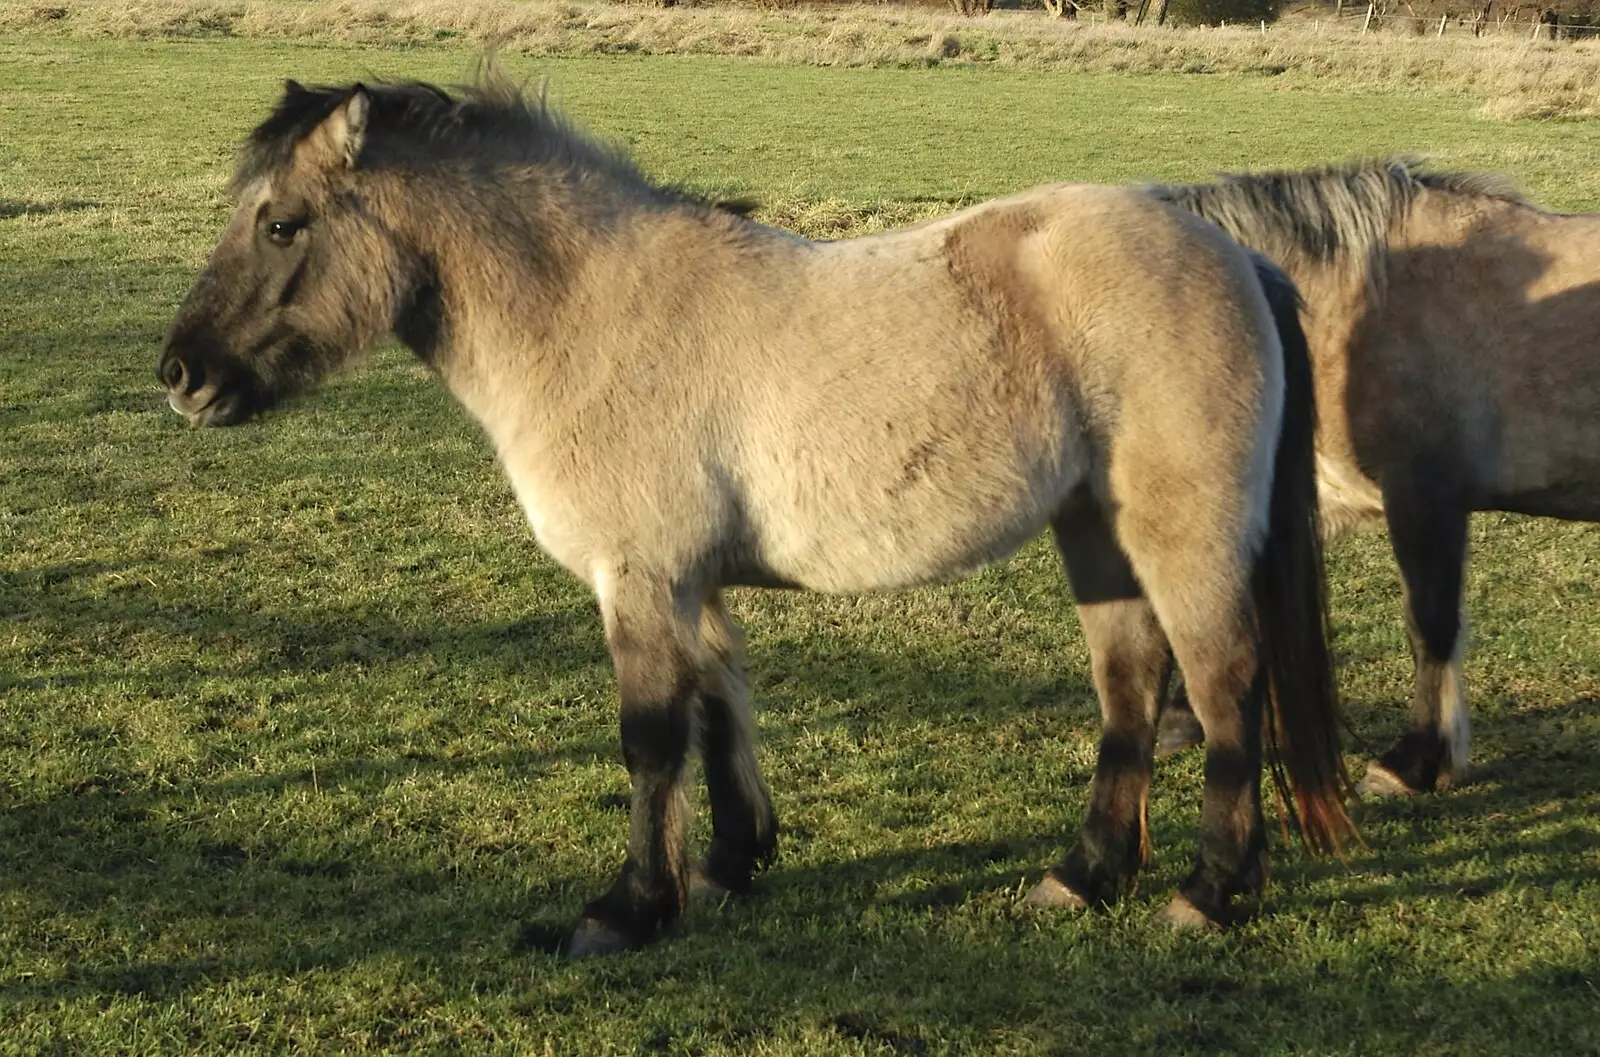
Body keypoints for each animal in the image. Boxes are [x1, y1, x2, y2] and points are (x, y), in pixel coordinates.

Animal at [1152, 160, 1600, 796]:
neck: (1355, 299)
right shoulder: (1340, 495)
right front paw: (1181, 717)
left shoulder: (1424, 496)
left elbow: (1430, 624)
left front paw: (1413, 763)